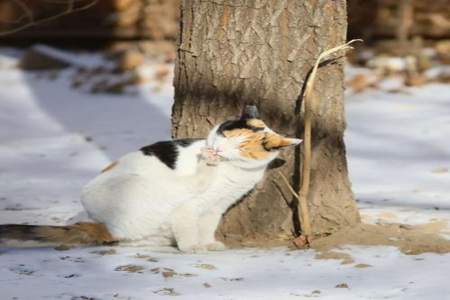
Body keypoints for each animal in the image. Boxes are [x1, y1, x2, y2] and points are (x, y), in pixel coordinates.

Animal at [0, 108, 302, 251]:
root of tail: (107, 225)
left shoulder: (216, 207)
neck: (232, 172)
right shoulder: (191, 207)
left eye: (241, 147)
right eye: (225, 137)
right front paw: (195, 247)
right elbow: (189, 232)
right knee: (193, 184)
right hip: (164, 188)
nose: (215, 150)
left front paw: (208, 243)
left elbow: (207, 226)